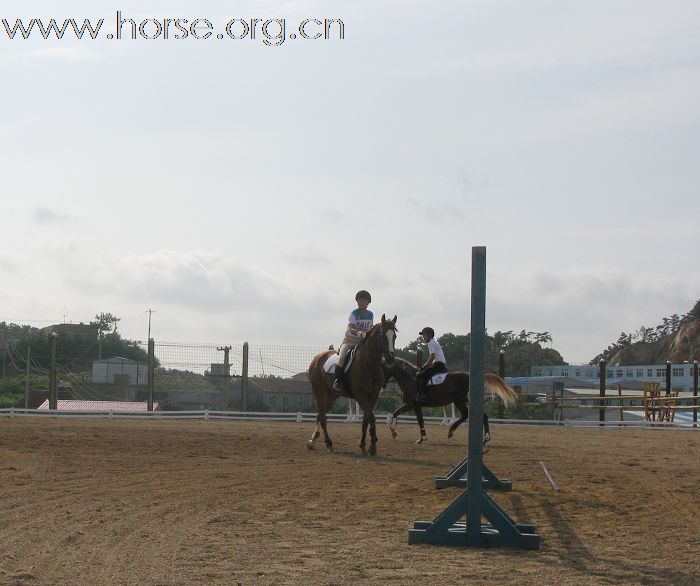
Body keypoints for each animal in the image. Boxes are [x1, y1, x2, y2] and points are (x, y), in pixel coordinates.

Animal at [308, 314, 400, 456]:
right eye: (383, 335)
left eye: (394, 336)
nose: (390, 358)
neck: (369, 365)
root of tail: (316, 358)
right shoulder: (360, 395)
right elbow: (371, 417)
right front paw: (372, 445)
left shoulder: (373, 396)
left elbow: (366, 418)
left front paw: (363, 445)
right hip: (320, 393)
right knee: (322, 417)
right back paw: (328, 443)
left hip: (331, 396)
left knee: (320, 415)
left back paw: (313, 441)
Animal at [380, 356, 516, 442]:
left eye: (382, 368)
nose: (382, 385)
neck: (410, 380)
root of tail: (469, 376)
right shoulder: (409, 404)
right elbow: (395, 413)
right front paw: (393, 432)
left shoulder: (415, 405)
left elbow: (420, 420)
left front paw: (422, 438)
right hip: (465, 401)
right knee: (483, 416)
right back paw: (486, 437)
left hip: (458, 400)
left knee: (466, 414)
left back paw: (451, 430)